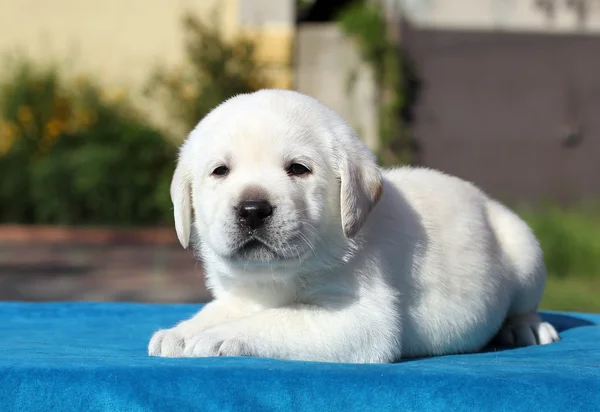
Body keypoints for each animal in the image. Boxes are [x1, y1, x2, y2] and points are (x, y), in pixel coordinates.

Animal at [148, 88, 560, 362]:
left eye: (299, 169)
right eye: (220, 171)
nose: (252, 209)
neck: (279, 276)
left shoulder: (360, 318)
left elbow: (277, 319)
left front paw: (216, 337)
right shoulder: (241, 295)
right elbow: (219, 310)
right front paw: (181, 332)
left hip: (524, 251)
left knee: (525, 305)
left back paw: (525, 327)